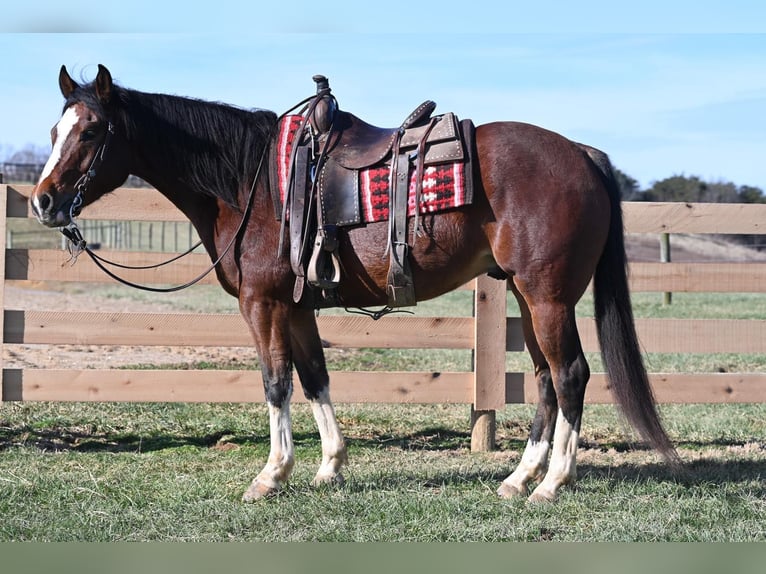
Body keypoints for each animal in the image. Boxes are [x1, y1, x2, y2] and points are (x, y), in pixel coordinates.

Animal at [30, 63, 680, 504]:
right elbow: (314, 377)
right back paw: (520, 478)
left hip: (548, 297)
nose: (43, 201)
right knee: (546, 379)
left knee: (570, 375)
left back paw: (552, 483)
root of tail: (583, 154)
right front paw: (329, 466)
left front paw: (270, 475)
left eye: (91, 132)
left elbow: (275, 382)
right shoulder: (297, 307)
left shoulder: (262, 303)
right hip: (528, 294)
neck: (252, 182)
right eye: (56, 130)